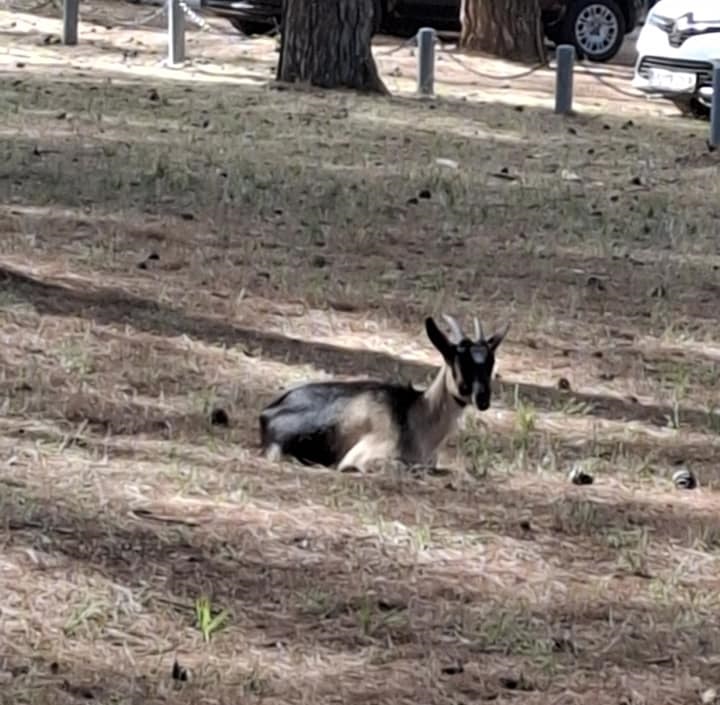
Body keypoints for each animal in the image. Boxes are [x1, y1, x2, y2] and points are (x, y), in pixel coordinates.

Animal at [258, 314, 506, 472]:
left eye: (491, 363)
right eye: (458, 362)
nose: (483, 399)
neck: (415, 415)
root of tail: (267, 413)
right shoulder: (365, 456)